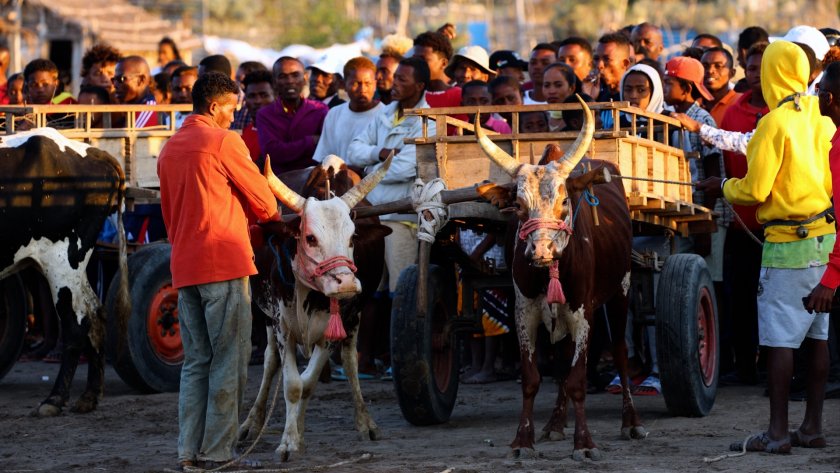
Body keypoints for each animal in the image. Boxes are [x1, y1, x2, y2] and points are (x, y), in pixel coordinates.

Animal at [0, 127, 130, 414]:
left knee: (75, 324)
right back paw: (89, 395)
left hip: (61, 261)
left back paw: (55, 399)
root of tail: (91, 152)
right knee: (95, 313)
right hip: (73, 265)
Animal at [238, 157, 392, 460]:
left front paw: (295, 435)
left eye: (352, 237)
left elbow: (307, 384)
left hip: (354, 318)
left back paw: (364, 423)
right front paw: (288, 441)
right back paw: (252, 423)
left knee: (350, 360)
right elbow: (292, 385)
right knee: (270, 361)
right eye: (310, 238)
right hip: (265, 317)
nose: (346, 283)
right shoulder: (282, 326)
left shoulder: (331, 331)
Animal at [476, 98, 648, 458]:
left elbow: (578, 380)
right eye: (518, 205)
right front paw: (522, 441)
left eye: (565, 200)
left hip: (621, 290)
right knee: (562, 360)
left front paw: (584, 443)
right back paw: (555, 423)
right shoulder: (525, 312)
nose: (541, 250)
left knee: (621, 353)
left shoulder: (584, 314)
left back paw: (631, 422)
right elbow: (534, 378)